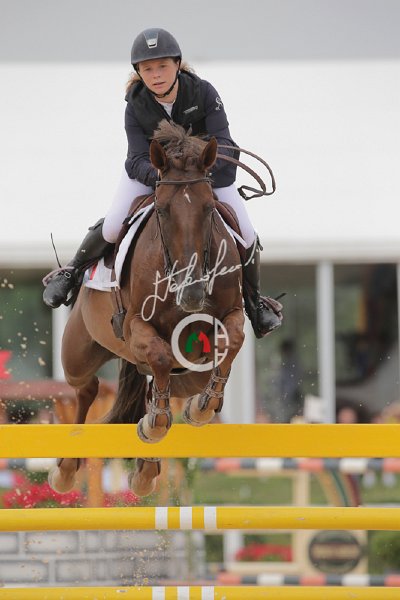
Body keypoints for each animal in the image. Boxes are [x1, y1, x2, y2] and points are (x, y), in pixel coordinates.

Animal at [48, 120, 245, 497]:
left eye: (209, 208)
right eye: (163, 210)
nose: (192, 294)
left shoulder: (234, 314)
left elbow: (232, 339)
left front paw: (203, 407)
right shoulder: (135, 325)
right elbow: (159, 355)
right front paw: (154, 425)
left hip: (187, 373)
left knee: (164, 386)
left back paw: (147, 465)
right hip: (78, 354)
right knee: (86, 389)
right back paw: (66, 468)